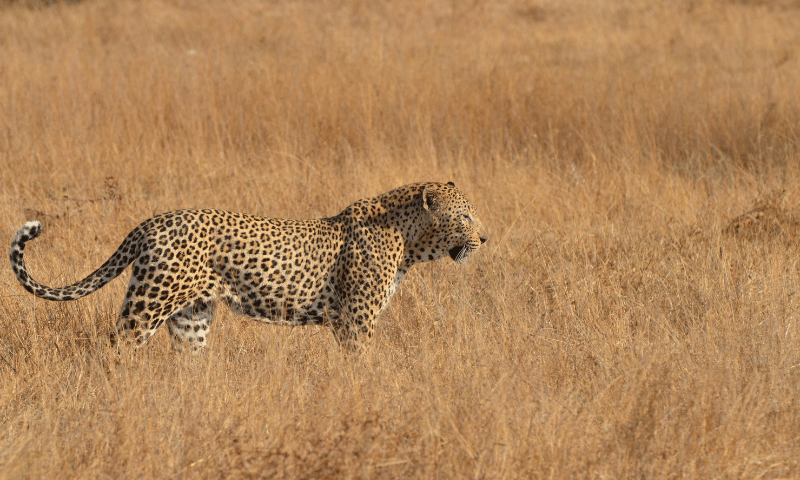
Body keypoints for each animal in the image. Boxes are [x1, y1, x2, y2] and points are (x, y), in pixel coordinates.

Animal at [9, 182, 488, 352]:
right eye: (465, 216)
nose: (484, 238)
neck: (408, 242)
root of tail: (151, 222)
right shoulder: (356, 319)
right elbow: (363, 360)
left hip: (191, 317)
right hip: (149, 302)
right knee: (114, 347)